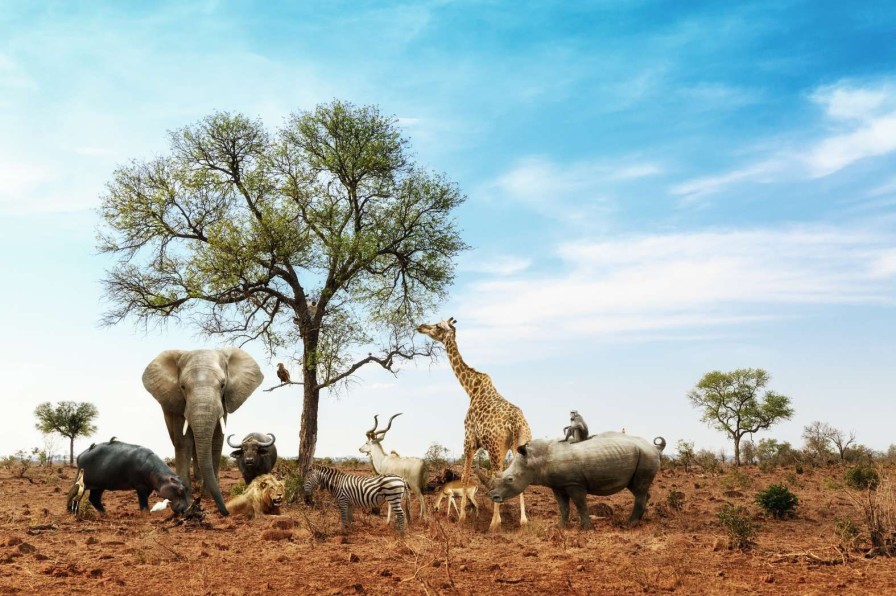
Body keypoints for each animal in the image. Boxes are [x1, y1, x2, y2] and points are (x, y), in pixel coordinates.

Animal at [143, 346, 262, 516]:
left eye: (223, 385)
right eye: (183, 387)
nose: (226, 512)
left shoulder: (224, 402)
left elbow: (217, 440)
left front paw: (207, 496)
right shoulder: (179, 403)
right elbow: (183, 442)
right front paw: (186, 501)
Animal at [416, 316, 528, 532]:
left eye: (437, 326)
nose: (421, 327)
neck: (471, 389)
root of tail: (516, 422)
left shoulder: (469, 441)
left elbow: (465, 477)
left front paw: (461, 518)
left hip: (495, 448)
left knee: (498, 476)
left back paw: (494, 523)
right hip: (519, 444)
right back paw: (523, 521)